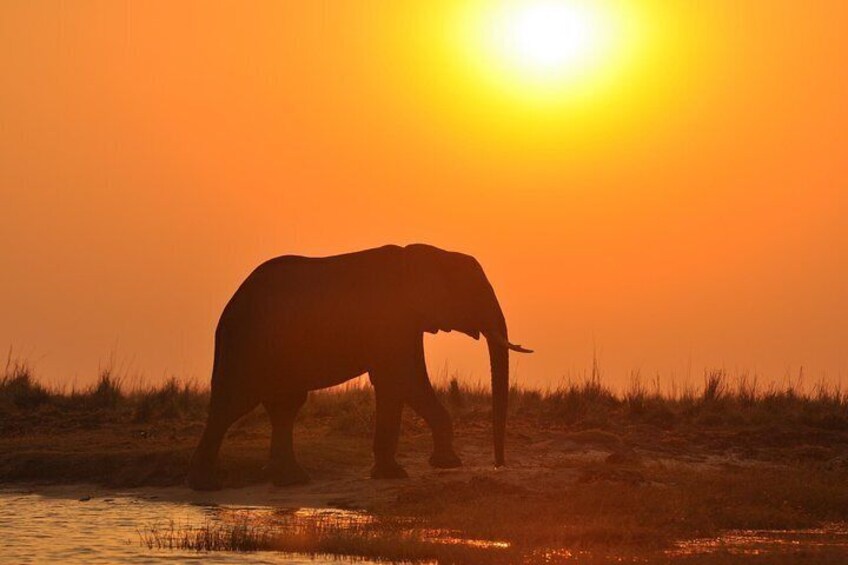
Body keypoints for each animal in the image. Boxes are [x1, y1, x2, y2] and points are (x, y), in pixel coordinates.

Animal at [187, 242, 528, 490]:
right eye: (474, 293)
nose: (498, 465)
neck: (423, 255)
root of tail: (229, 306)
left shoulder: (404, 323)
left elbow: (396, 383)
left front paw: (393, 473)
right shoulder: (390, 318)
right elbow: (403, 379)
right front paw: (443, 465)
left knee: (286, 406)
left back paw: (291, 480)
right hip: (249, 345)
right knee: (234, 403)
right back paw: (207, 486)